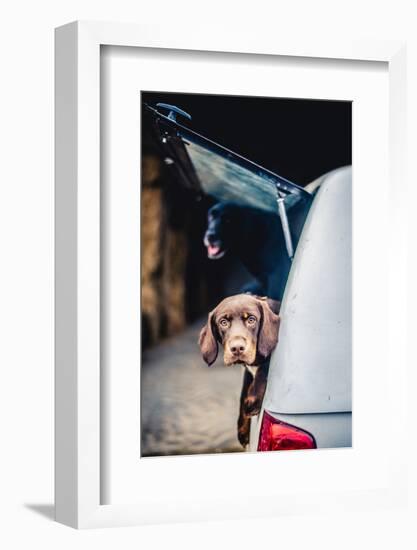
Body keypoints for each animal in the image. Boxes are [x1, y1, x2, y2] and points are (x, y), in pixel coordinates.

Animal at [198, 296, 280, 450]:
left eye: (251, 320)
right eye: (223, 322)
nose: (237, 348)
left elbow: (264, 368)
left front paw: (253, 400)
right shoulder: (247, 371)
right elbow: (243, 393)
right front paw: (242, 429)